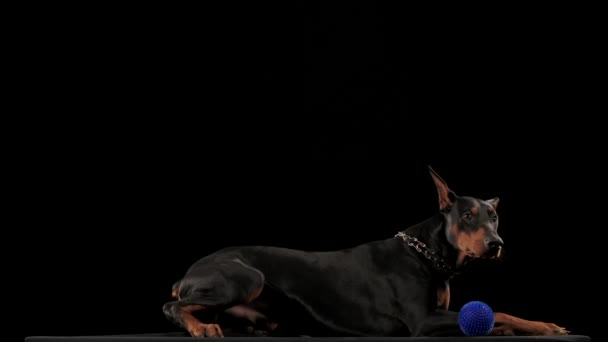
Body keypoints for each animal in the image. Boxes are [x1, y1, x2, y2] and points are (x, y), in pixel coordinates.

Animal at [163, 166, 568, 336]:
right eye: (467, 215)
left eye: (495, 217)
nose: (497, 245)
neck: (427, 254)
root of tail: (186, 274)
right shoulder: (422, 321)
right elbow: (496, 312)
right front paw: (540, 326)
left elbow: (500, 316)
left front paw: (538, 327)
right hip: (248, 276)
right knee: (172, 306)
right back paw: (201, 328)